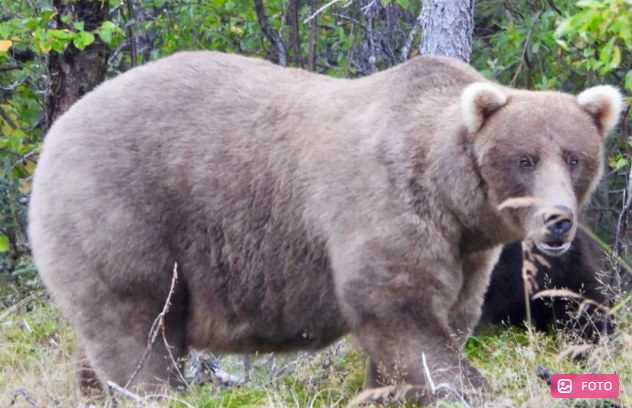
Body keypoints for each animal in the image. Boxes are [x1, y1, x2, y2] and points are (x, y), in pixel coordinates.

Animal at [28, 51, 624, 404]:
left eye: (574, 158)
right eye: (524, 159)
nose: (557, 220)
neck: (450, 196)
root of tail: (57, 129)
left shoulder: (466, 252)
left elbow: (448, 316)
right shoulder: (384, 203)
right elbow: (399, 311)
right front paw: (468, 386)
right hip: (125, 215)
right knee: (139, 332)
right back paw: (152, 391)